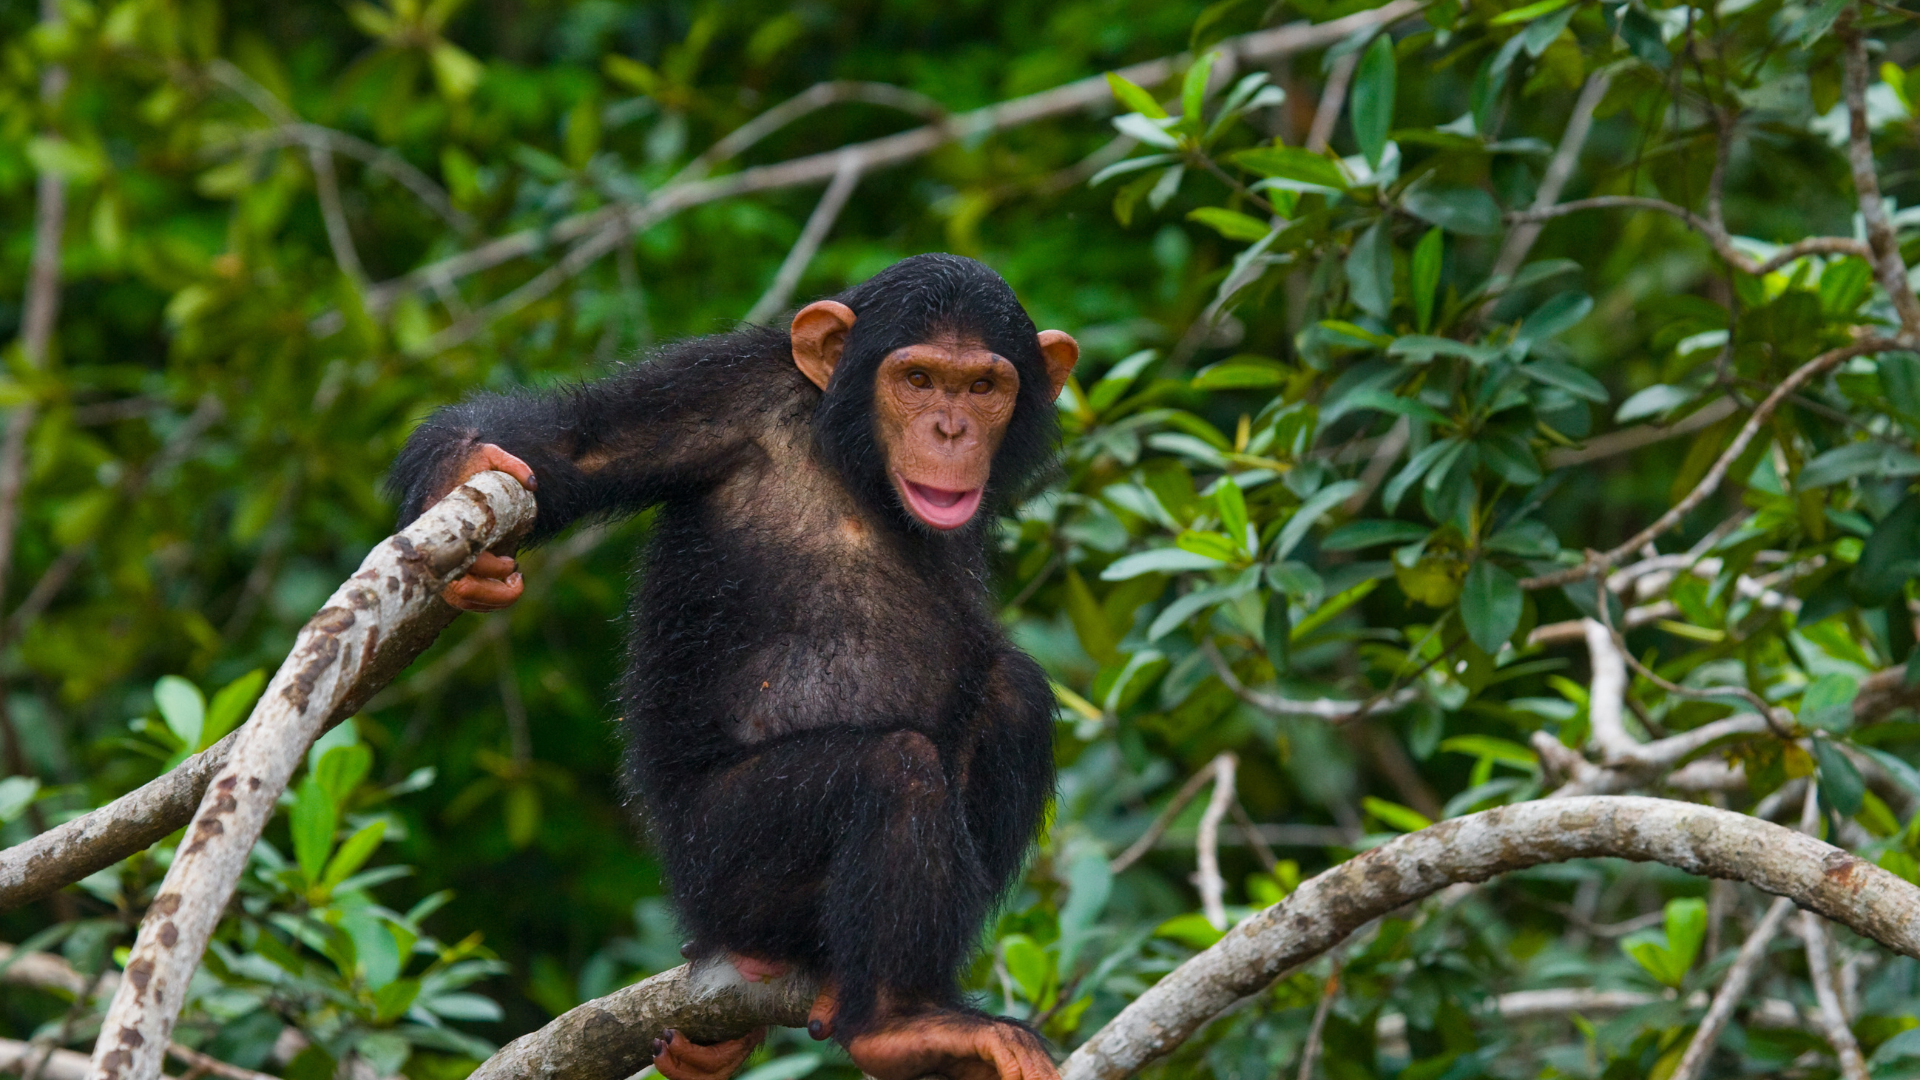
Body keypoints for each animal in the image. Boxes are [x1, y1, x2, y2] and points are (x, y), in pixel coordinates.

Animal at [391, 253, 1080, 1080]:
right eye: (917, 379)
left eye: (983, 387)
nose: (950, 429)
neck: (850, 461)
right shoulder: (723, 397)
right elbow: (579, 444)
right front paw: (460, 470)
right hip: (722, 864)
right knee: (895, 769)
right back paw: (897, 1022)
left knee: (1015, 693)